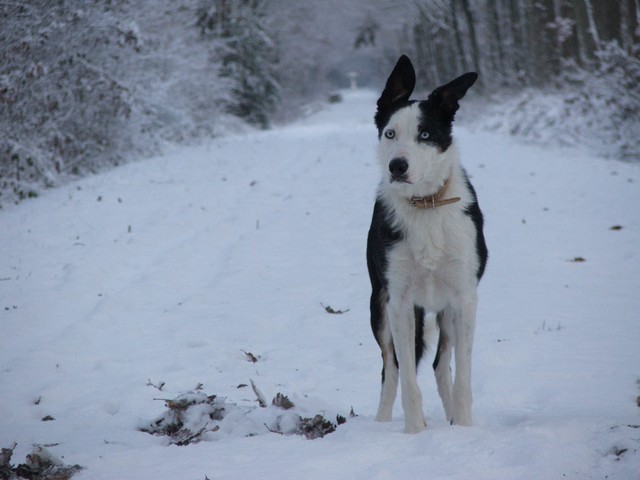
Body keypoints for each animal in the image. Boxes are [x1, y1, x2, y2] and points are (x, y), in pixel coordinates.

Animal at [367, 55, 488, 433]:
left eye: (425, 135)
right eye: (390, 133)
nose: (397, 166)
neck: (426, 205)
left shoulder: (464, 299)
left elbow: (462, 378)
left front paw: (463, 429)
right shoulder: (400, 302)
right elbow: (406, 379)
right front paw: (415, 432)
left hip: (445, 313)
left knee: (440, 365)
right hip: (378, 306)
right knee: (390, 369)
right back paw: (381, 421)